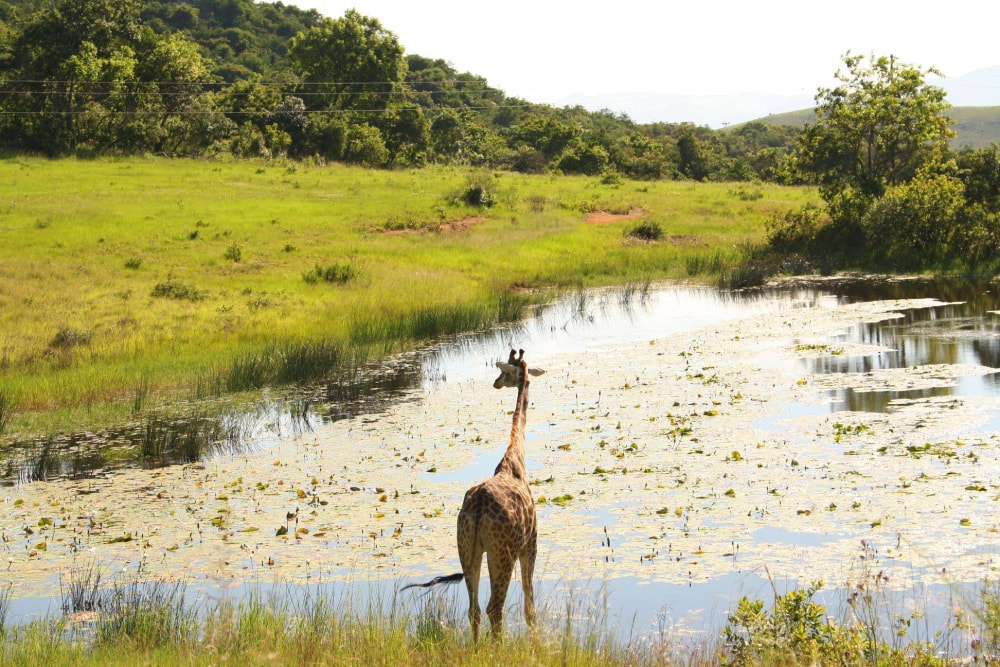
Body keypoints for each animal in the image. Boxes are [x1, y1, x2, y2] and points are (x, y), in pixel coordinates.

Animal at [402, 350, 544, 640]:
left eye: (503, 372)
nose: (496, 383)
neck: (516, 460)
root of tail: (478, 508)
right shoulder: (531, 544)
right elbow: (530, 609)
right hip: (502, 553)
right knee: (494, 608)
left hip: (467, 547)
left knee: (474, 609)